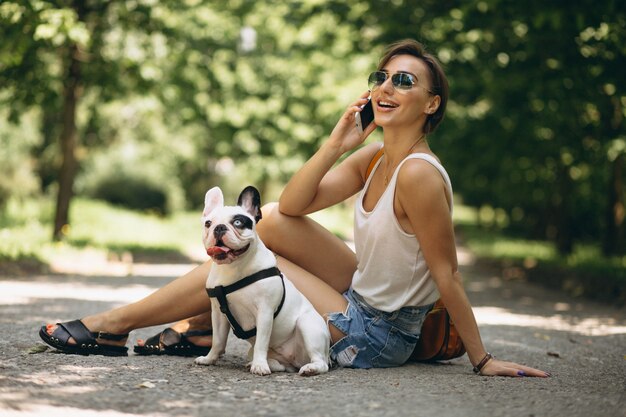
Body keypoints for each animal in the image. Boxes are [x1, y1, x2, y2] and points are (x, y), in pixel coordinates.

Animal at [194, 187, 332, 376]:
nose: (219, 227)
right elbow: (218, 341)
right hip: (266, 354)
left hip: (308, 325)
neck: (233, 267)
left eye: (238, 222)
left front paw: (260, 366)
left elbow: (261, 341)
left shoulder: (265, 312)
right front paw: (209, 359)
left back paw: (309, 368)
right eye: (208, 223)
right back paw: (262, 363)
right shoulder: (218, 313)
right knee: (280, 364)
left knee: (321, 362)